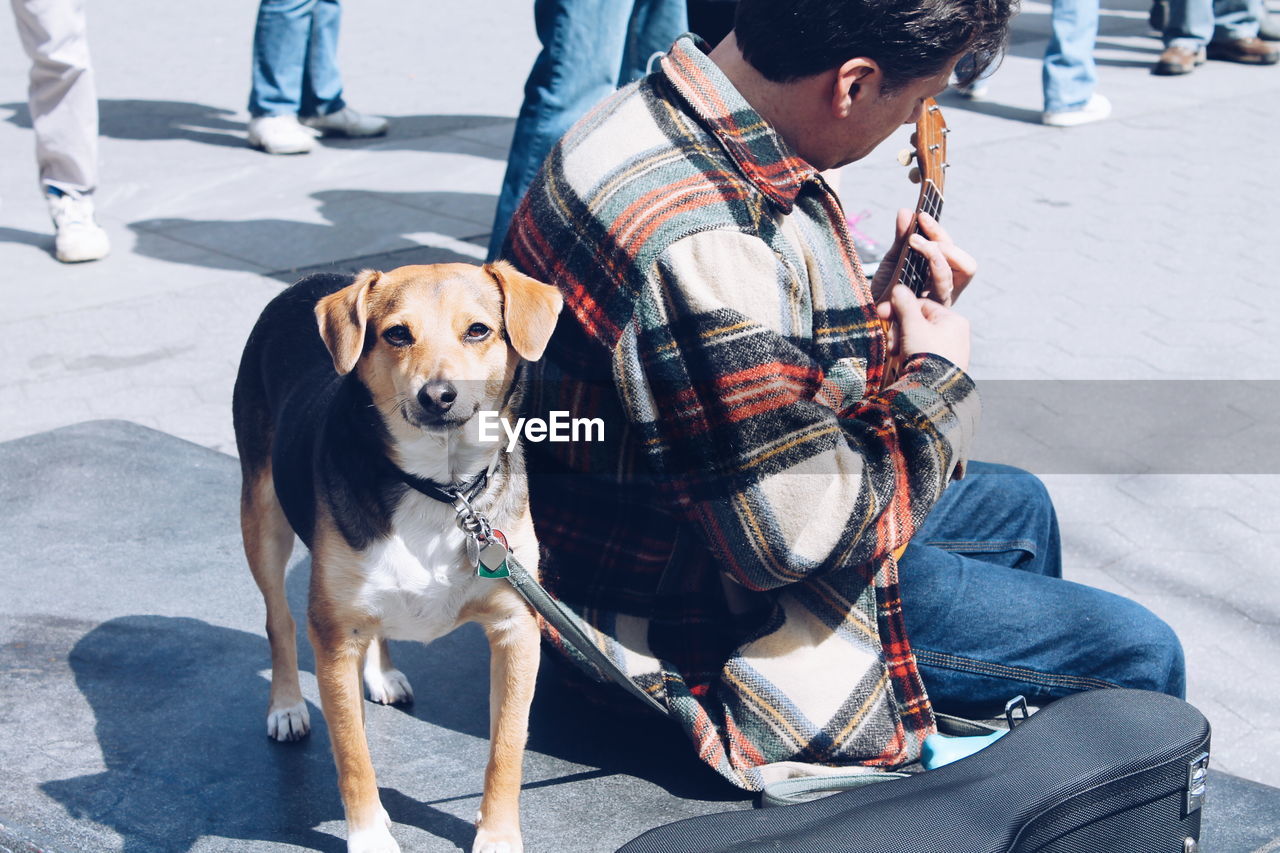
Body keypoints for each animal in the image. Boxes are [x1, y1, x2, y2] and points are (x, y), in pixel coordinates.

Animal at [234, 262, 560, 845]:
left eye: (478, 330)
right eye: (397, 334)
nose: (439, 395)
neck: (443, 489)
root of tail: (311, 279)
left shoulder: (516, 629)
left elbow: (507, 748)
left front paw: (498, 836)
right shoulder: (335, 636)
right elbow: (352, 754)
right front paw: (369, 836)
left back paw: (381, 674)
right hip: (262, 515)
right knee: (278, 620)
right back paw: (288, 706)